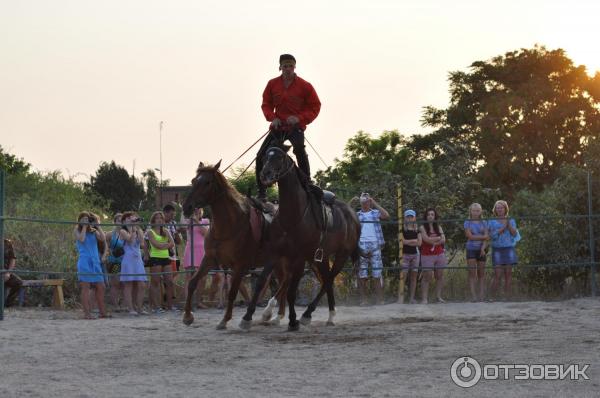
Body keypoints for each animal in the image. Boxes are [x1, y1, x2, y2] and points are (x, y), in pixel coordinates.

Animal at [180, 161, 288, 330]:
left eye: (207, 182)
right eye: (193, 181)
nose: (187, 207)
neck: (229, 225)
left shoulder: (239, 266)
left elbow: (232, 292)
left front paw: (224, 320)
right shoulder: (209, 259)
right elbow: (192, 283)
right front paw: (187, 316)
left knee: (284, 281)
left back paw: (267, 313)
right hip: (277, 263)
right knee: (284, 281)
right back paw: (277, 316)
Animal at [258, 146, 360, 330]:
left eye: (280, 157)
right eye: (264, 158)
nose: (265, 174)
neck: (294, 213)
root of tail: (353, 215)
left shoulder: (299, 256)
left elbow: (289, 287)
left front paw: (283, 316)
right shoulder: (283, 253)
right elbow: (284, 283)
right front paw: (270, 313)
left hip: (342, 255)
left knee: (329, 279)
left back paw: (309, 315)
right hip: (322, 258)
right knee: (327, 279)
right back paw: (329, 316)